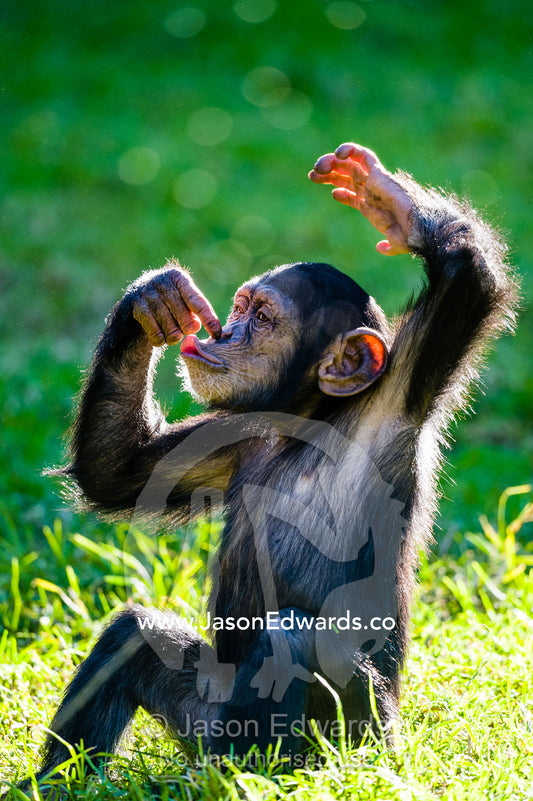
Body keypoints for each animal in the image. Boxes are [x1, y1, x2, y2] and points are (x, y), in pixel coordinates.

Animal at [28, 142, 518, 781]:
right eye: (239, 306)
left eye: (261, 318)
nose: (225, 332)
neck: (307, 424)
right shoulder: (235, 433)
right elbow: (120, 470)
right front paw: (152, 302)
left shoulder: (399, 394)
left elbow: (466, 285)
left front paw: (393, 204)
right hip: (205, 707)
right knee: (134, 636)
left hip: (360, 738)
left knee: (289, 637)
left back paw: (242, 776)